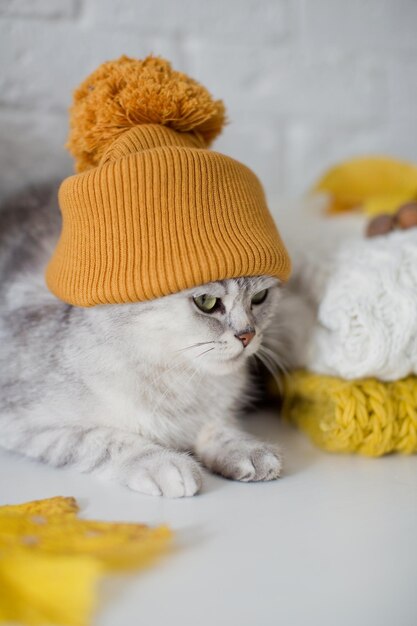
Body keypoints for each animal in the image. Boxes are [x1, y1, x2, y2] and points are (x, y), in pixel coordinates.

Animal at [0, 182, 286, 498]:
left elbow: (219, 425)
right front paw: (163, 463)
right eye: (207, 302)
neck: (177, 382)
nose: (247, 335)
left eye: (260, 297)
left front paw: (244, 448)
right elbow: (104, 440)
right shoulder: (22, 420)